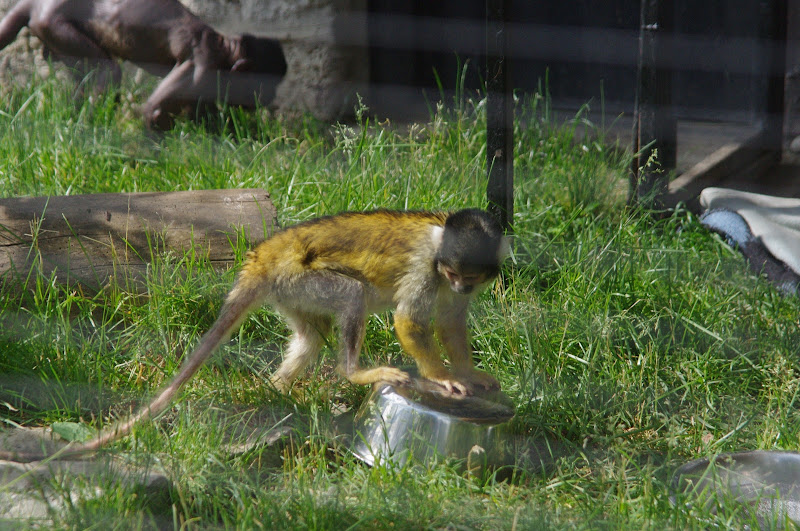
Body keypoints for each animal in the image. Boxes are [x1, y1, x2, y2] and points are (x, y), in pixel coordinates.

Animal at [0, 0, 287, 129]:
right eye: (269, 86)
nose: (272, 96)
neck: (223, 47)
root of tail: (37, 4)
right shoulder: (204, 66)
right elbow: (154, 110)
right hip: (55, 25)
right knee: (109, 71)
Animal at [0, 208, 508, 462]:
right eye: (451, 271)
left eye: (468, 277)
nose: (460, 285)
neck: (439, 252)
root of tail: (266, 254)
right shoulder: (427, 267)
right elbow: (410, 321)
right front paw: (443, 378)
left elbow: (450, 322)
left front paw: (468, 374)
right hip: (300, 278)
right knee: (352, 293)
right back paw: (353, 372)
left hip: (288, 290)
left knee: (311, 335)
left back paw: (280, 388)